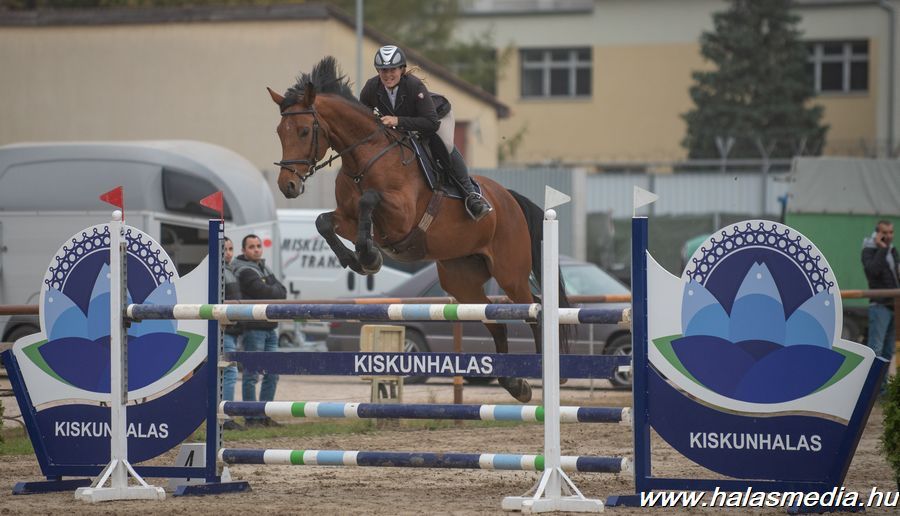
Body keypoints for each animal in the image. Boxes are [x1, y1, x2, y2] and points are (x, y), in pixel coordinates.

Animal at [268, 57, 568, 404]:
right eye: (280, 132)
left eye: (304, 130)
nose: (288, 186)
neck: (364, 158)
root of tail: (508, 198)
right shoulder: (349, 219)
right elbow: (324, 222)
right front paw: (358, 259)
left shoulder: (401, 217)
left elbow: (369, 200)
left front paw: (368, 257)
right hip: (461, 279)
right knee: (494, 321)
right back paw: (514, 383)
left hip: (510, 272)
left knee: (534, 308)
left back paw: (546, 375)